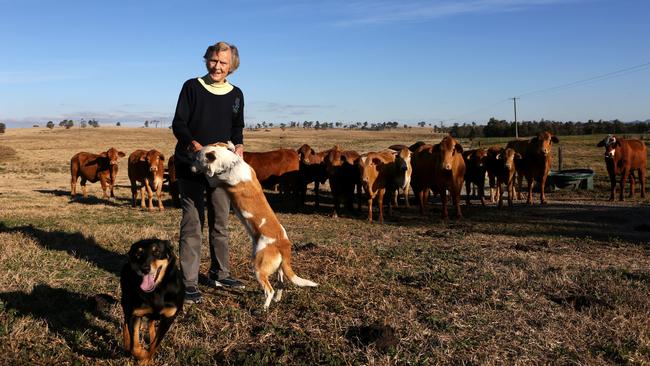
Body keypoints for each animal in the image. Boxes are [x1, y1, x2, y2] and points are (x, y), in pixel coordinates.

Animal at [190, 142, 316, 308]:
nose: (190, 167)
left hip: (258, 268)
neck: (232, 164)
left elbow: (209, 177)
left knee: (269, 290)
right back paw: (276, 300)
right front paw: (230, 145)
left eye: (197, 159)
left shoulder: (215, 181)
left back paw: (264, 307)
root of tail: (284, 244)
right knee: (280, 285)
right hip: (279, 269)